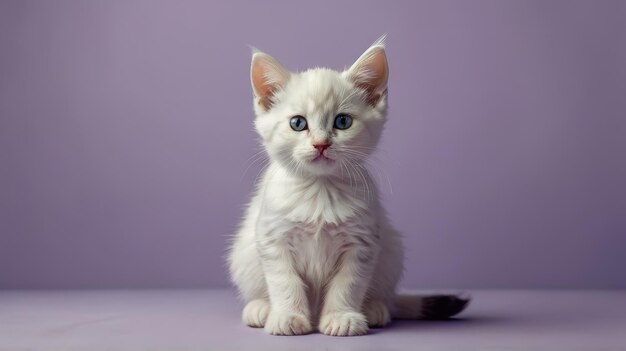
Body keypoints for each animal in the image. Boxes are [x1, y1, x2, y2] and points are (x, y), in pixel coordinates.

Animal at [227, 37, 466, 336]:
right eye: (298, 123)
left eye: (342, 121)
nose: (321, 144)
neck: (320, 189)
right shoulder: (273, 239)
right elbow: (284, 281)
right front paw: (288, 317)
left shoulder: (362, 243)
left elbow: (348, 284)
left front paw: (342, 317)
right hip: (244, 251)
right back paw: (260, 308)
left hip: (391, 248)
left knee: (387, 297)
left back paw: (375, 308)